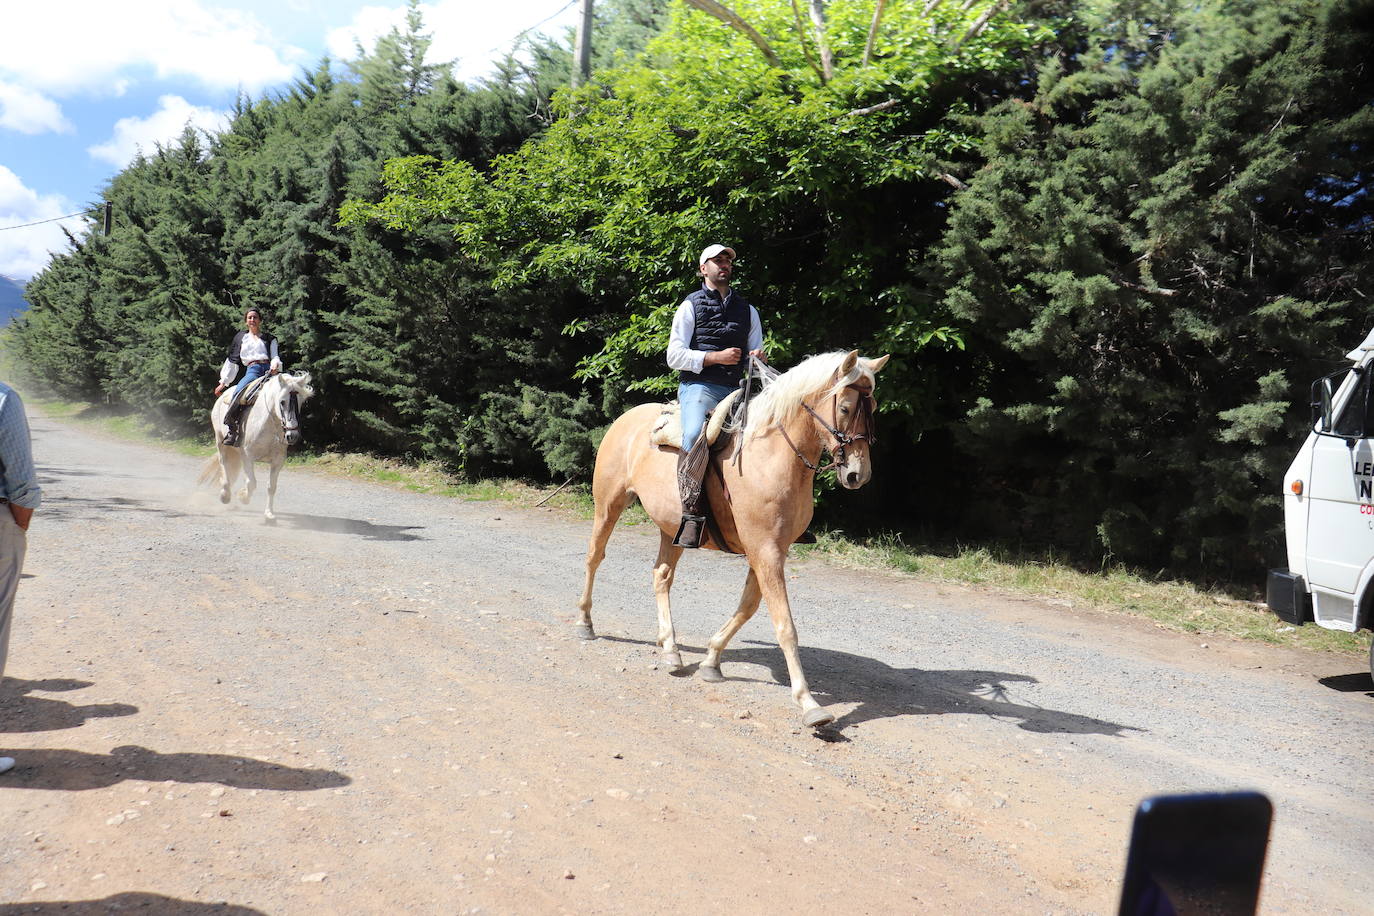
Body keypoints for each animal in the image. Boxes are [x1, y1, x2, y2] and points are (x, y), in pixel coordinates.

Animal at [200, 370, 316, 521]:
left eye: (301, 402)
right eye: (282, 401)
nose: (293, 435)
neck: (269, 425)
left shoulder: (278, 461)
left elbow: (271, 487)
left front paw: (269, 514)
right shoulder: (248, 457)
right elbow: (252, 483)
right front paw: (243, 497)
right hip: (220, 441)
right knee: (223, 463)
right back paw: (225, 495)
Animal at [577, 347, 890, 725]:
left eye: (873, 407)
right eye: (844, 407)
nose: (859, 474)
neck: (771, 457)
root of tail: (628, 418)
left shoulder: (770, 551)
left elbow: (748, 607)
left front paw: (712, 661)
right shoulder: (765, 551)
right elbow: (784, 625)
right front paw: (809, 705)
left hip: (673, 529)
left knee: (661, 576)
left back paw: (670, 648)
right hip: (608, 505)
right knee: (594, 557)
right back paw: (585, 623)